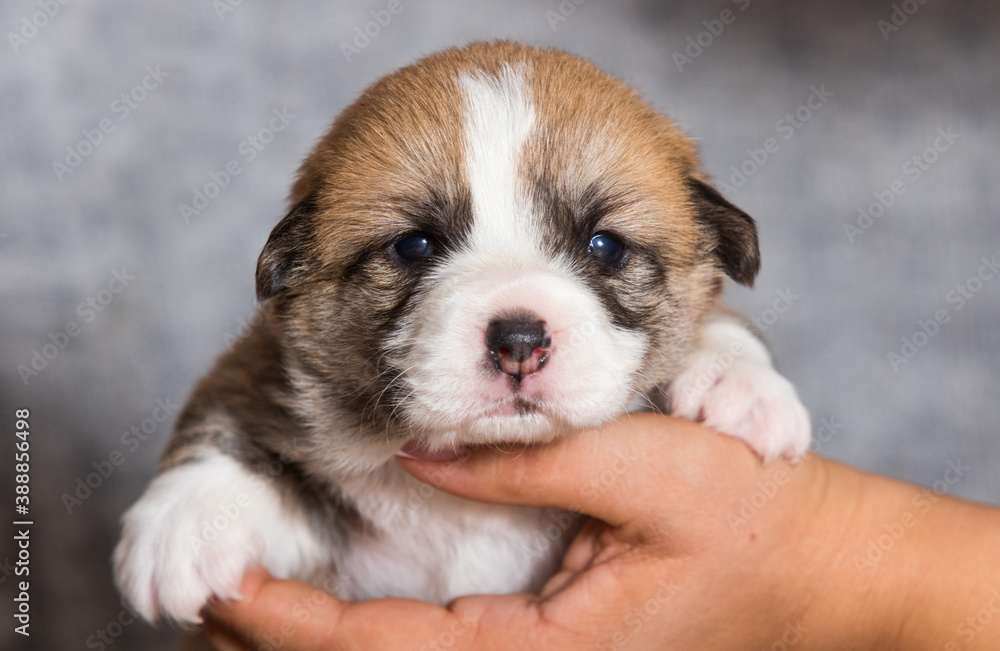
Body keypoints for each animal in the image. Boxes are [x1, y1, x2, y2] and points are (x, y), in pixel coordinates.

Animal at [111, 42, 812, 628]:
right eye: (414, 245)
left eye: (605, 246)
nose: (520, 341)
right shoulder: (271, 367)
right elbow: (234, 403)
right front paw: (192, 513)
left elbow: (717, 323)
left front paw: (735, 378)